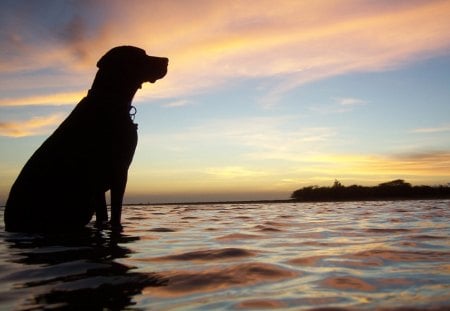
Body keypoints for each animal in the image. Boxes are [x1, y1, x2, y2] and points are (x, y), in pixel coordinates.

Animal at [3, 45, 169, 232]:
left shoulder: (98, 186)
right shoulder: (118, 171)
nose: (167, 60)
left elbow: (103, 214)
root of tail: (9, 222)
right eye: (141, 56)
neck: (109, 101)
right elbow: (115, 212)